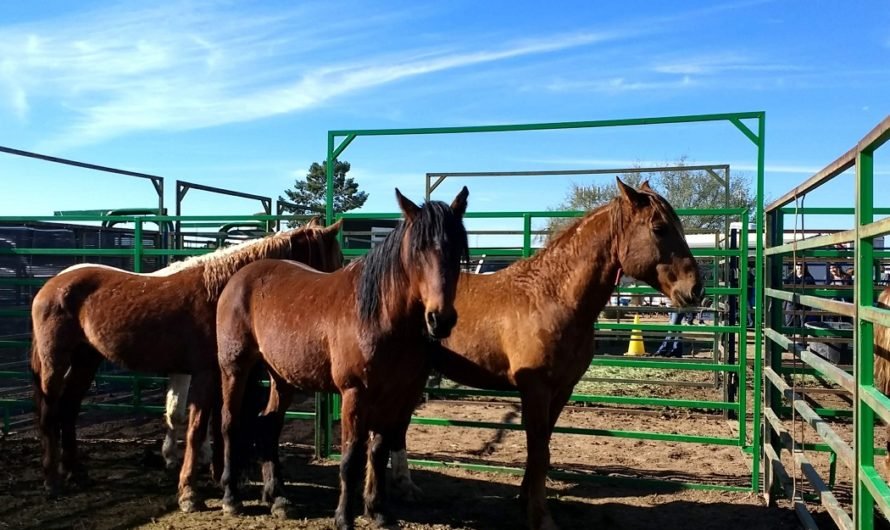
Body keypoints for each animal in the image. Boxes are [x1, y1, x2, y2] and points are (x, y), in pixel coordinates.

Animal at [29, 219, 344, 512]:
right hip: (54, 362)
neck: (221, 293)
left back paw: (76, 473)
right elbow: (196, 428)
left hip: (86, 360)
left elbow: (214, 425)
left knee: (68, 409)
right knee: (49, 413)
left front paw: (220, 479)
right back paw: (52, 481)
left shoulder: (218, 375)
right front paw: (190, 494)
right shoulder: (206, 374)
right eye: (336, 258)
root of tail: (51, 284)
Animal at [216, 187, 469, 529]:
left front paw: (379, 511)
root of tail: (239, 277)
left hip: (281, 377)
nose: (440, 320)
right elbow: (351, 458)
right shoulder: (355, 394)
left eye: (457, 249)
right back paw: (231, 497)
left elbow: (378, 450)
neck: (380, 316)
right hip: (235, 368)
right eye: (418, 250)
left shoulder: (398, 395)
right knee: (230, 422)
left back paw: (278, 498)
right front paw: (344, 517)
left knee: (268, 424)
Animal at [388, 179, 703, 530]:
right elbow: (537, 448)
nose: (695, 289)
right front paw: (540, 517)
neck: (553, 297)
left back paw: (406, 488)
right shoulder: (536, 389)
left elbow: (544, 448)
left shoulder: (562, 389)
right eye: (659, 228)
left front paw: (525, 501)